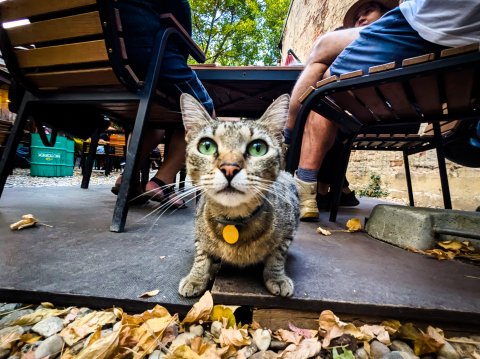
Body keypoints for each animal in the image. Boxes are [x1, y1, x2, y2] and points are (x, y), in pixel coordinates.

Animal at [178, 93, 298, 298]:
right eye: (206, 146)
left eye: (258, 148)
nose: (229, 167)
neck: (233, 220)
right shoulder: (198, 232)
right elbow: (201, 254)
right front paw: (196, 277)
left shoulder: (288, 232)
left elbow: (277, 256)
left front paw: (277, 278)